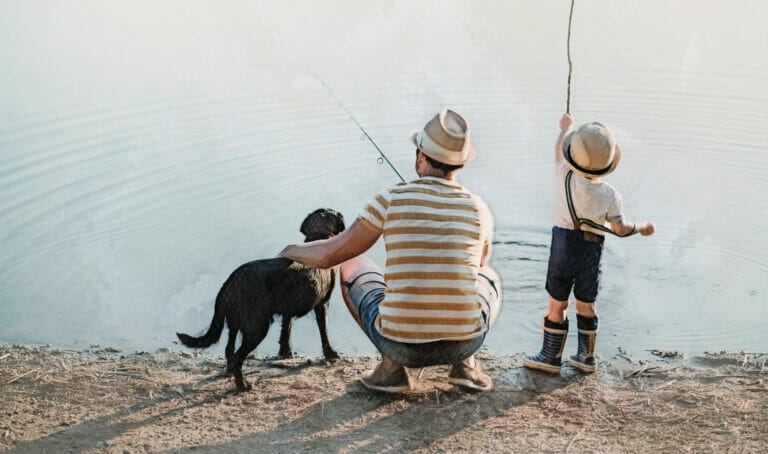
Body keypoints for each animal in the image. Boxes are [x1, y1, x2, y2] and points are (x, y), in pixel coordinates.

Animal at [177, 208, 344, 390]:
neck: (316, 239)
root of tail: (231, 282)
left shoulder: (287, 311)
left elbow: (286, 332)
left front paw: (285, 353)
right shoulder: (322, 304)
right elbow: (324, 331)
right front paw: (330, 354)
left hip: (234, 322)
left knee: (229, 351)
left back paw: (231, 375)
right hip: (257, 328)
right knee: (237, 358)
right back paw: (243, 385)